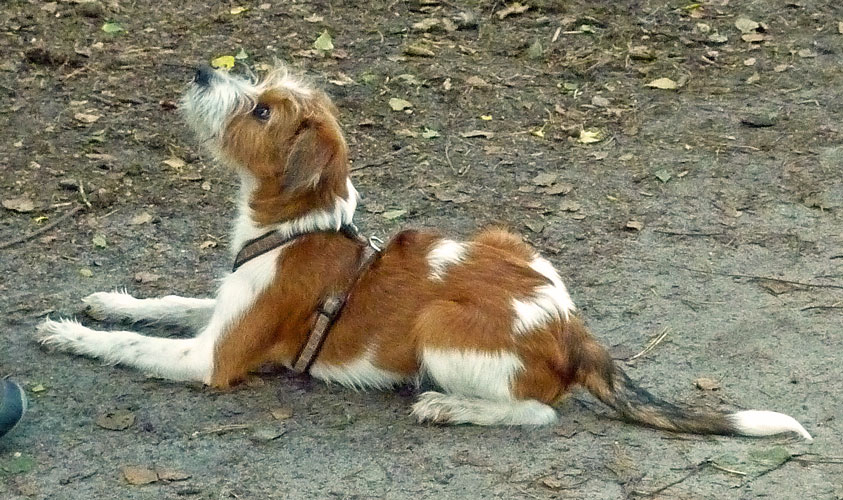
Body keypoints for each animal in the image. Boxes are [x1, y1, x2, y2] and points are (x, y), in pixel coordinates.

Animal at [37, 64, 812, 440]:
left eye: (259, 109)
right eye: (257, 89)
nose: (201, 70)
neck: (301, 225)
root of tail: (573, 332)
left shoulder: (212, 358)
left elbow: (129, 346)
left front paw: (70, 334)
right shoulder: (223, 311)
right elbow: (167, 302)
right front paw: (109, 298)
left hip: (438, 326)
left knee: (540, 414)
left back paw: (447, 410)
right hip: (506, 237)